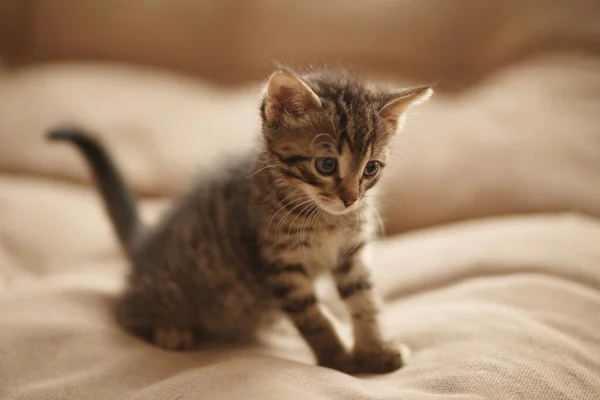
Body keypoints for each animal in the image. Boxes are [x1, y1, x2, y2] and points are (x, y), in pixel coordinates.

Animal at [47, 67, 432, 374]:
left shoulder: (352, 255)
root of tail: (145, 247)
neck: (325, 218)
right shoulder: (281, 264)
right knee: (124, 311)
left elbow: (366, 302)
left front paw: (374, 349)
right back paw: (170, 329)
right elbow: (312, 317)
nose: (350, 198)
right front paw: (338, 358)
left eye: (371, 169)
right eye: (326, 165)